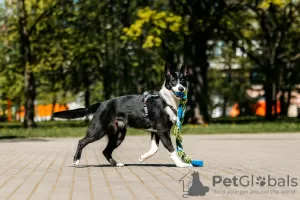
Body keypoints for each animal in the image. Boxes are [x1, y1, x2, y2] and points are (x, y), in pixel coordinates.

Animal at [54, 62, 192, 167]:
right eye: (173, 81)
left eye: (183, 81)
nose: (181, 89)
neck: (166, 100)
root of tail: (102, 103)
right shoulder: (163, 131)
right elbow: (172, 149)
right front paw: (181, 164)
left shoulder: (155, 132)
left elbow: (154, 149)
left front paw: (143, 157)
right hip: (98, 130)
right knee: (81, 141)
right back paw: (76, 160)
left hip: (118, 135)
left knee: (106, 151)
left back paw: (116, 164)